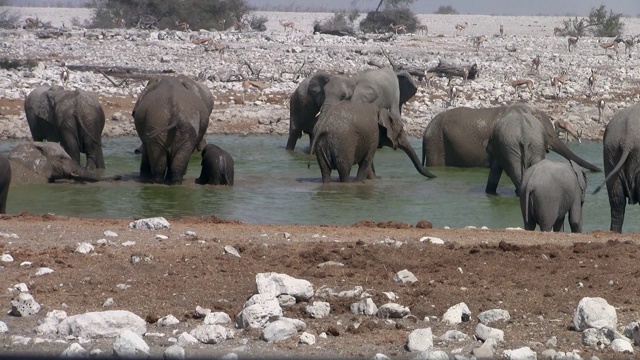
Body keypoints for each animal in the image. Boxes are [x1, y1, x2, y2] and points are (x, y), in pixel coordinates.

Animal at [308, 100, 438, 181]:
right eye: (401, 130)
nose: (437, 176)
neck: (382, 111)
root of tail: (324, 126)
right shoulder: (374, 134)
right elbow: (367, 162)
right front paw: (360, 183)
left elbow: (368, 164)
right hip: (342, 145)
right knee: (344, 171)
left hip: (320, 144)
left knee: (325, 171)